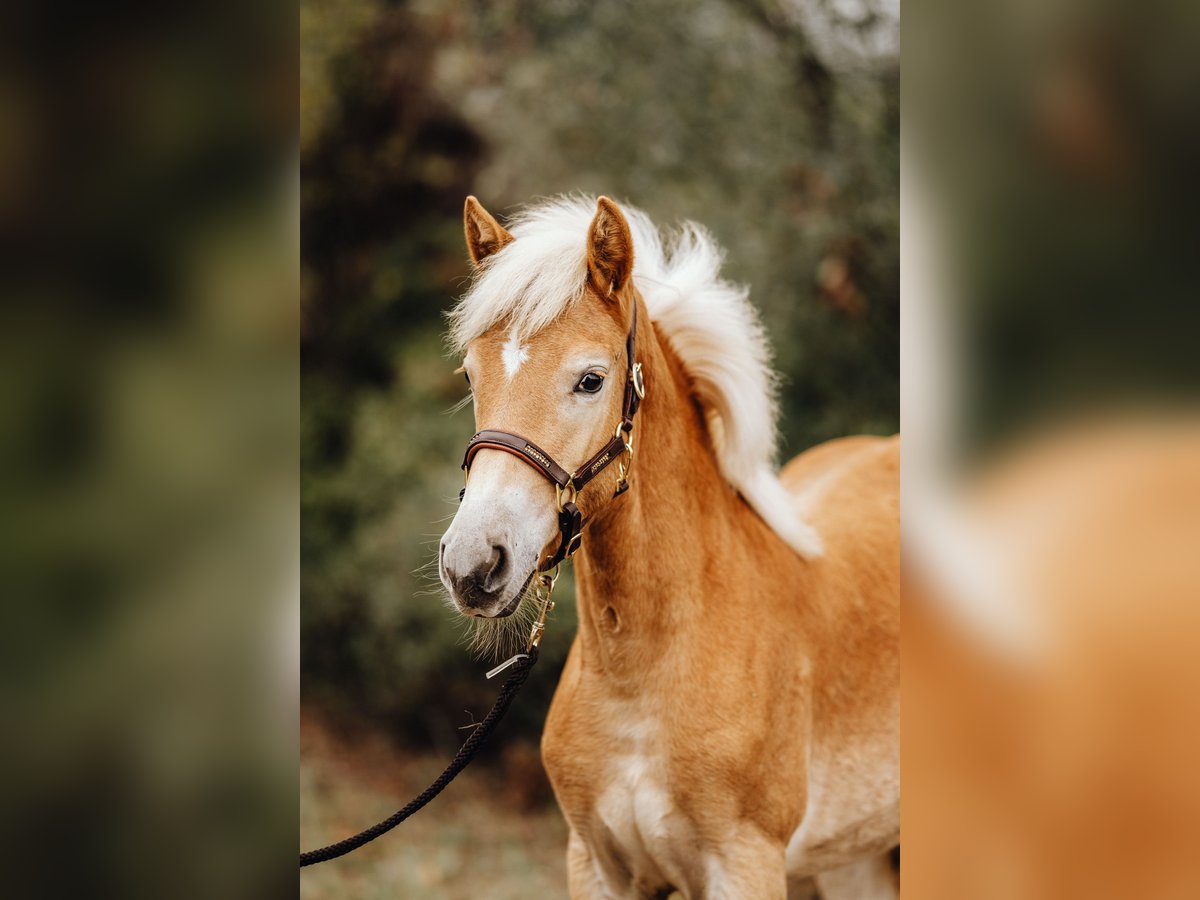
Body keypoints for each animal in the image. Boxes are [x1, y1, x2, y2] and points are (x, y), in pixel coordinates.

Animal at [436, 194, 897, 897]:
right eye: (470, 374)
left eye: (590, 380)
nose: (473, 565)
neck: (643, 677)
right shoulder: (598, 866)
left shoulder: (745, 867)